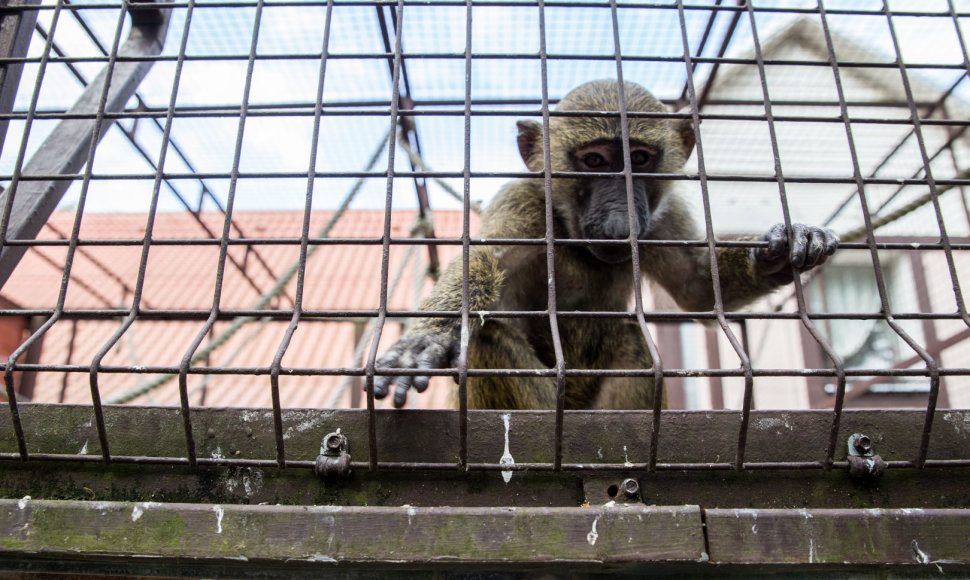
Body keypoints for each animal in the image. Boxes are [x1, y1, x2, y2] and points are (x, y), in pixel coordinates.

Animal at [366, 79, 836, 410]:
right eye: (594, 161)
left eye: (639, 160)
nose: (619, 223)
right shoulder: (524, 203)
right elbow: (481, 258)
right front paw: (424, 341)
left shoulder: (661, 219)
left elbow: (698, 287)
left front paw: (781, 249)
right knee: (486, 338)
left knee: (634, 341)